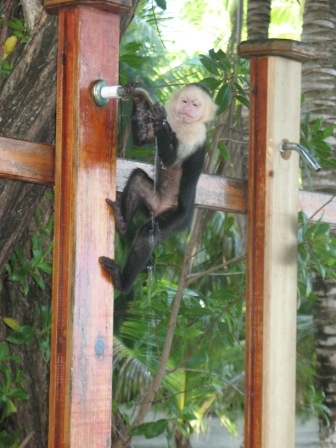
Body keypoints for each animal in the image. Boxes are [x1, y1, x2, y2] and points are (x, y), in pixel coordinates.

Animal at [98, 83, 217, 294]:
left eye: (195, 105)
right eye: (185, 101)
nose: (187, 109)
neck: (182, 123)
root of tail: (160, 208)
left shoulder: (194, 135)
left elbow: (170, 159)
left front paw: (160, 118)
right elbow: (143, 138)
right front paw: (138, 97)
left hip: (178, 218)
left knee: (148, 234)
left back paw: (122, 282)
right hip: (152, 202)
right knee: (137, 179)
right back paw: (122, 223)